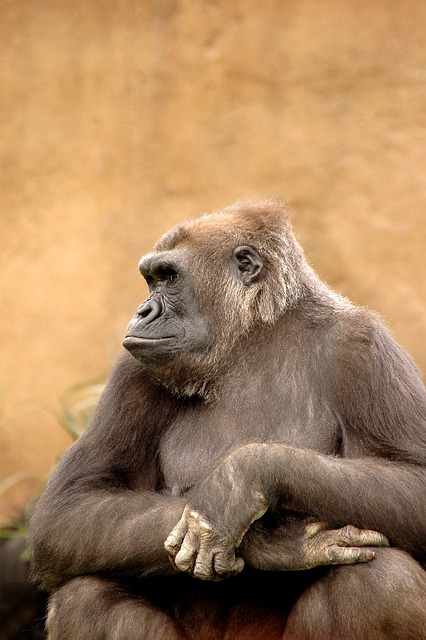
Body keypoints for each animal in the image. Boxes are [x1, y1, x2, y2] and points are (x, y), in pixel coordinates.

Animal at [30, 198, 426, 636]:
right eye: (151, 280)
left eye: (169, 277)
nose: (143, 311)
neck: (252, 335)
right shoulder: (131, 373)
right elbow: (73, 504)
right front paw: (270, 541)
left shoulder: (362, 346)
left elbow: (414, 478)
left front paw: (241, 479)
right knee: (84, 596)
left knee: (380, 581)